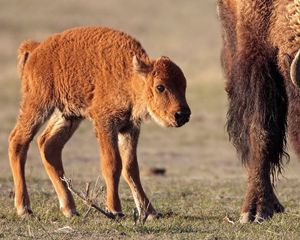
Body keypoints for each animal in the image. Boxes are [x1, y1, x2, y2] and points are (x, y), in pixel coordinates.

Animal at [8, 27, 190, 218]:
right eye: (160, 87)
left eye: (184, 85)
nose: (182, 114)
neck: (129, 76)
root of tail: (36, 49)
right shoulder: (106, 124)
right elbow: (112, 164)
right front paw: (115, 209)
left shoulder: (129, 128)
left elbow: (131, 168)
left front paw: (149, 212)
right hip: (38, 105)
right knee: (18, 141)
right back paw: (24, 208)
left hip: (68, 115)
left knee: (49, 145)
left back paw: (69, 209)